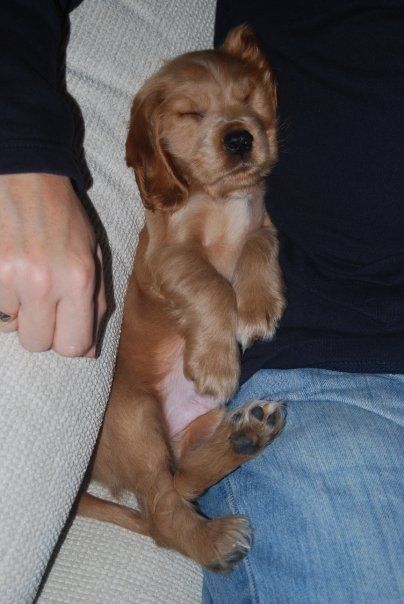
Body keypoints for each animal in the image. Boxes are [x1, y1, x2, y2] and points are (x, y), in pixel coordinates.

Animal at [79, 26, 286, 572]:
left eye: (247, 98)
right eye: (191, 113)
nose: (240, 138)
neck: (220, 200)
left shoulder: (262, 223)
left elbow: (258, 247)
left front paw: (258, 308)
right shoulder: (168, 258)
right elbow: (210, 283)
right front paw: (216, 362)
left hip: (203, 421)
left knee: (183, 481)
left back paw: (245, 437)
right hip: (135, 420)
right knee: (161, 512)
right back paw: (213, 540)